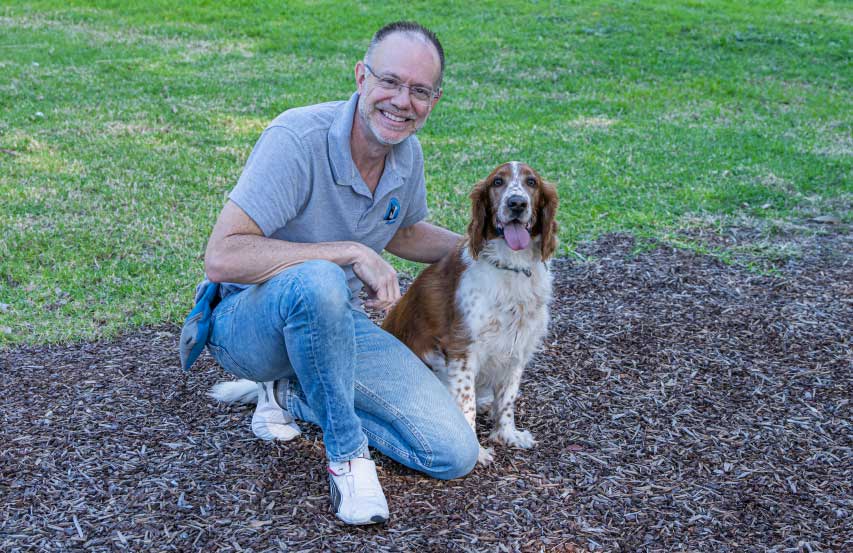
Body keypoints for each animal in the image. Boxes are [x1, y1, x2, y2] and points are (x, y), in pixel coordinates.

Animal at [382, 162, 560, 464]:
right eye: (498, 182)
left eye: (532, 182)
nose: (517, 203)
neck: (510, 266)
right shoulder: (463, 349)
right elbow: (467, 406)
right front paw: (477, 452)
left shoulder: (518, 348)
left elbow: (508, 398)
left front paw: (507, 434)